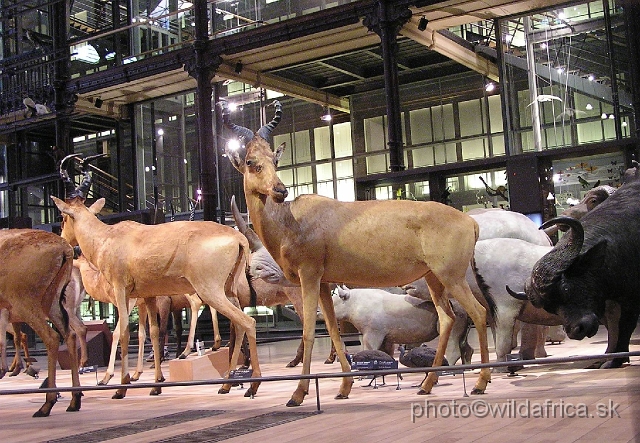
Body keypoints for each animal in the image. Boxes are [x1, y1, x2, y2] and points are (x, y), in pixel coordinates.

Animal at [0, 229, 82, 416]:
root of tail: (66, 250)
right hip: (51, 304)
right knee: (70, 334)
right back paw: (74, 400)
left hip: (27, 304)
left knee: (51, 337)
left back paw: (47, 404)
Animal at [52, 161, 262, 398]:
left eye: (63, 217)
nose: (63, 239)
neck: (109, 236)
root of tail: (238, 237)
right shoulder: (148, 296)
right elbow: (152, 333)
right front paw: (156, 384)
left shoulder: (121, 292)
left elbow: (122, 332)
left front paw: (118, 385)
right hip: (227, 291)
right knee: (238, 326)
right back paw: (227, 384)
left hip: (210, 292)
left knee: (248, 322)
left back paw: (251, 384)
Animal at [220, 99, 490, 406]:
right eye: (251, 161)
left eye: (274, 160)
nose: (280, 190)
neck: (292, 219)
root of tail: (469, 221)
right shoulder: (323, 283)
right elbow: (333, 330)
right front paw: (343, 388)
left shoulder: (309, 277)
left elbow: (309, 330)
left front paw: (297, 394)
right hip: (435, 279)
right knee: (447, 319)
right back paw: (427, 384)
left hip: (452, 277)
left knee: (479, 313)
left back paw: (480, 382)